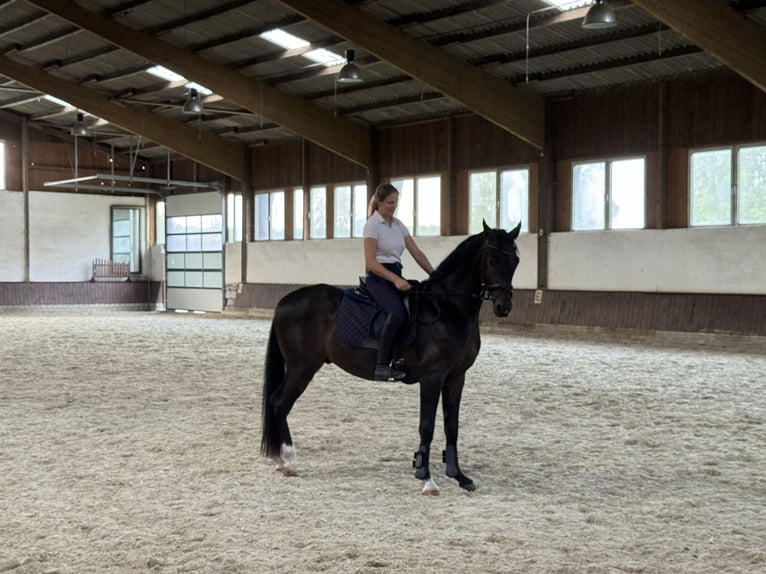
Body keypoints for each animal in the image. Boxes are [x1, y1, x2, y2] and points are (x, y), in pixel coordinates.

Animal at [262, 222, 520, 496]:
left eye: (515, 260)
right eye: (491, 260)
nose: (504, 307)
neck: (448, 308)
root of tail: (286, 300)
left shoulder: (456, 377)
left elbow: (452, 426)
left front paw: (458, 476)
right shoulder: (432, 376)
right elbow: (427, 426)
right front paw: (426, 478)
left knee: (276, 402)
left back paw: (280, 460)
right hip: (302, 368)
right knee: (279, 403)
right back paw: (289, 461)